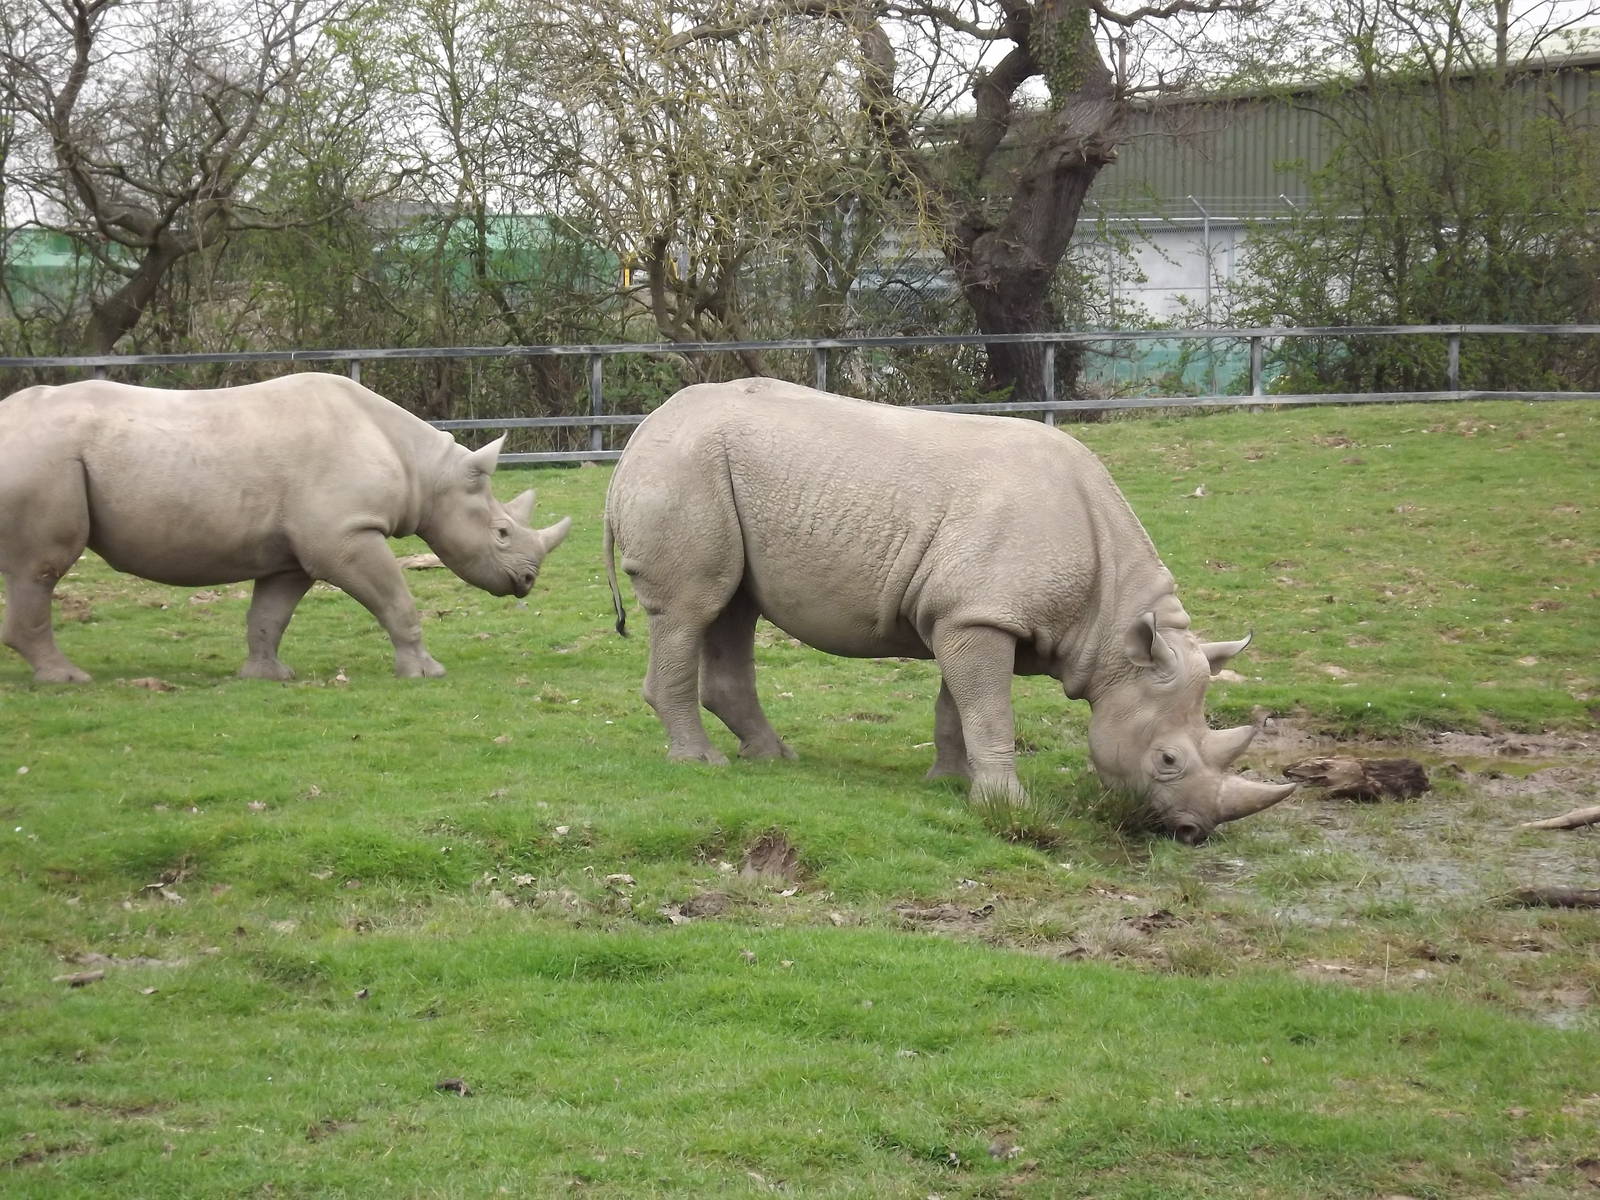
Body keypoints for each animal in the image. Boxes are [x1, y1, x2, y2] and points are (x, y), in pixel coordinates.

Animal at [0, 372, 570, 683]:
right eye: (501, 533)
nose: (527, 581)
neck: (426, 471)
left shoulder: (297, 553)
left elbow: (270, 615)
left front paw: (267, 676)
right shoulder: (345, 536)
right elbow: (397, 601)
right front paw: (427, 673)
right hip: (42, 456)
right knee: (40, 568)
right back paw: (68, 679)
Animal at [603, 378, 1297, 844]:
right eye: (1168, 761)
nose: (1194, 831)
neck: (1115, 631)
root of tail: (638, 437)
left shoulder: (970, 611)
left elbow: (958, 707)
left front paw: (951, 783)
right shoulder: (980, 614)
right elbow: (989, 709)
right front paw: (1008, 806)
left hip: (704, 473)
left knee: (732, 609)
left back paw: (773, 759)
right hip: (685, 470)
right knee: (692, 608)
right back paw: (701, 764)